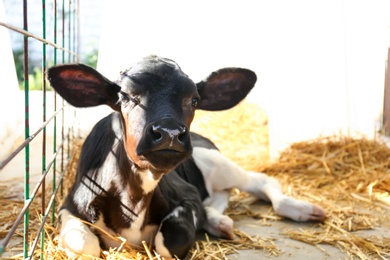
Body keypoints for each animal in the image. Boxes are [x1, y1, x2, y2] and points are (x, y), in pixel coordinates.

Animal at [47, 54, 324, 258]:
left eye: (194, 100)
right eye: (125, 97)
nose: (169, 132)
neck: (132, 204)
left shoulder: (187, 195)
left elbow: (170, 240)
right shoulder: (69, 204)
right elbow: (85, 245)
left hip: (216, 162)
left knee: (261, 181)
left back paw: (301, 209)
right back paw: (218, 221)